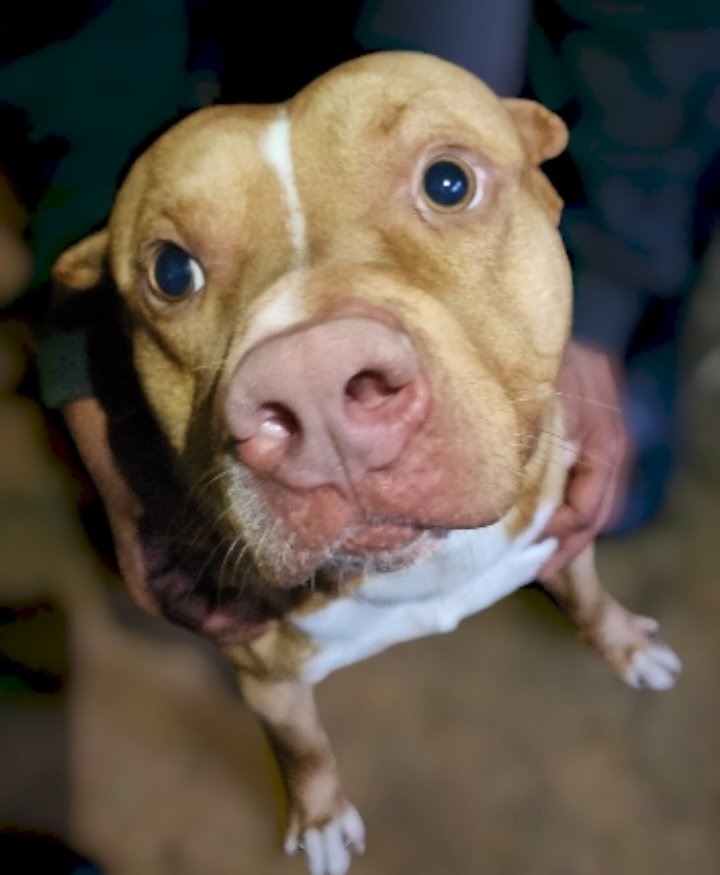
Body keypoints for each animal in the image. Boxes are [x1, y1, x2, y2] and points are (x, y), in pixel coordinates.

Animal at [52, 53, 680, 875]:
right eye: (171, 271)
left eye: (447, 181)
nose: (312, 389)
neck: (423, 573)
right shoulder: (267, 679)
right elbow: (306, 749)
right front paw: (320, 816)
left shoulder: (561, 527)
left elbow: (587, 593)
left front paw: (624, 641)